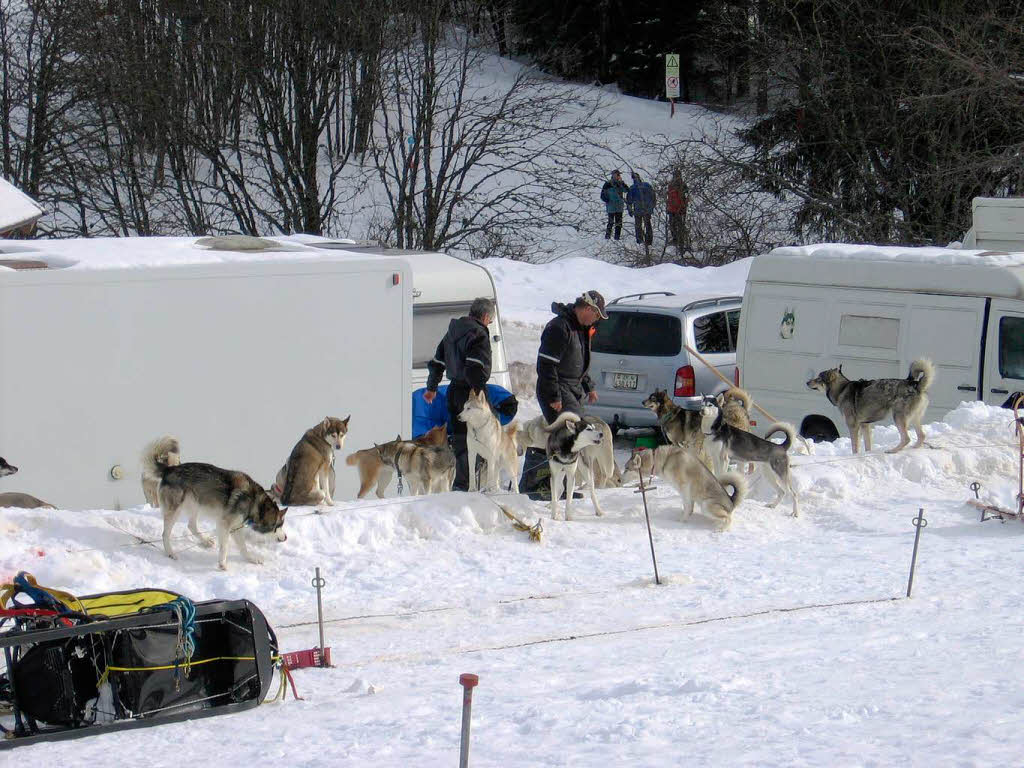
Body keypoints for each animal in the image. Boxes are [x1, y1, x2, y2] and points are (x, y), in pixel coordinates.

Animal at [138, 438, 286, 573]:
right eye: (278, 526)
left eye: (281, 525)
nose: (285, 538)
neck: (255, 502)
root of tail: (169, 469)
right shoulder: (224, 525)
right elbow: (225, 547)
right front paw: (222, 564)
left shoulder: (235, 528)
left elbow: (243, 547)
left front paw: (251, 559)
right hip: (175, 511)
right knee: (165, 534)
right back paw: (170, 553)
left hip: (195, 505)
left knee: (191, 526)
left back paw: (205, 541)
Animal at [806, 360, 937, 456]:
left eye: (818, 378)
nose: (807, 382)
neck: (842, 389)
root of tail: (916, 385)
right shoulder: (865, 425)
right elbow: (867, 445)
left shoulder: (853, 426)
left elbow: (855, 447)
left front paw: (855, 456)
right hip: (914, 418)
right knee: (921, 435)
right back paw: (914, 448)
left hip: (898, 417)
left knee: (906, 438)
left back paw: (892, 451)